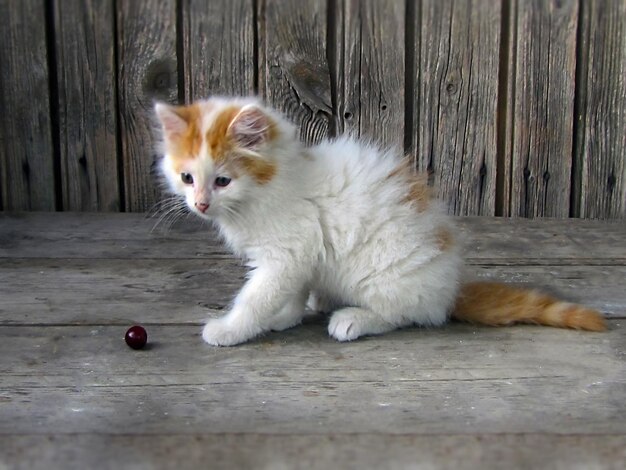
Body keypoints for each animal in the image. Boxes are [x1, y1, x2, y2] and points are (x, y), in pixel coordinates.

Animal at [152, 97, 604, 346]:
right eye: (187, 177)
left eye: (222, 181)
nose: (200, 204)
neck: (275, 186)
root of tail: (450, 287)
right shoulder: (302, 257)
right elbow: (292, 293)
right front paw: (284, 316)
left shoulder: (288, 252)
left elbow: (255, 298)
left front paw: (231, 329)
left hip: (385, 274)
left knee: (409, 313)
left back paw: (354, 318)